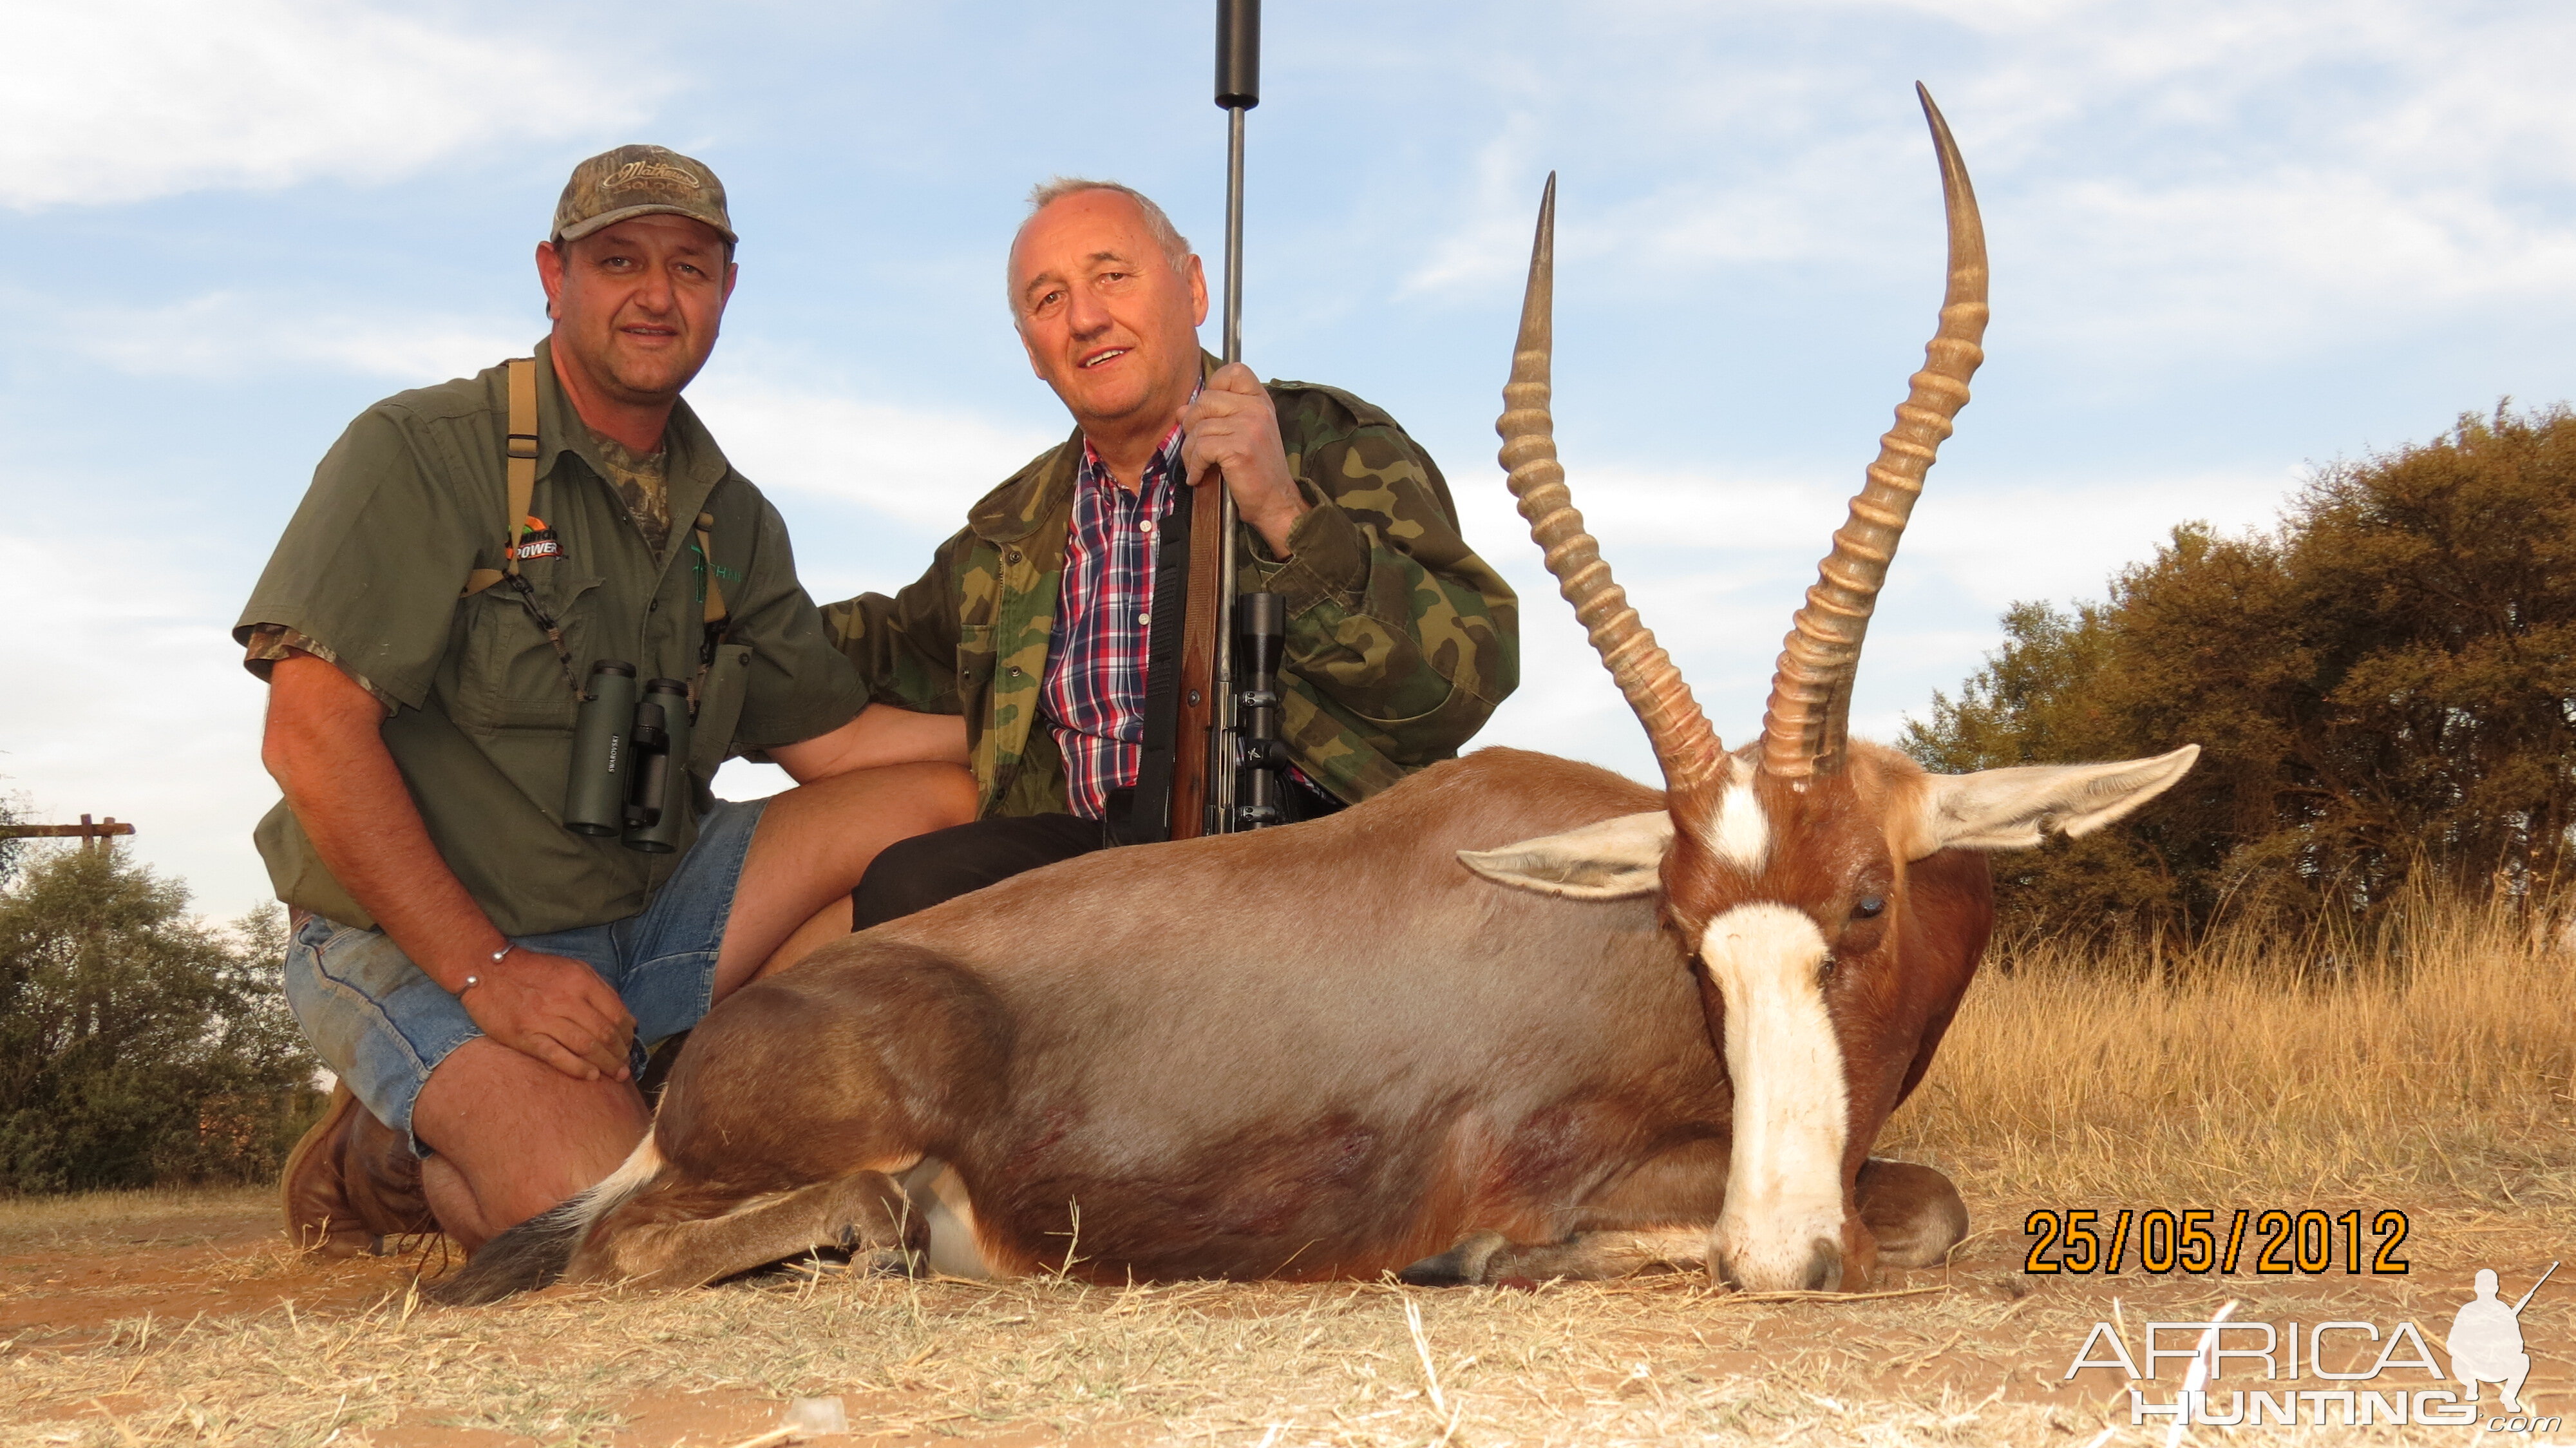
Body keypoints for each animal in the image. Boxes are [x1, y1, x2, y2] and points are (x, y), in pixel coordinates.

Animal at [438, 90, 2195, 1304]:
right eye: (1684, 925)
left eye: (1864, 900)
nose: (1775, 1254)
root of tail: (693, 1067)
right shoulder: (1558, 1162)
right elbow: (1901, 1205)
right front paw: (1493, 1262)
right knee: (698, 1236)